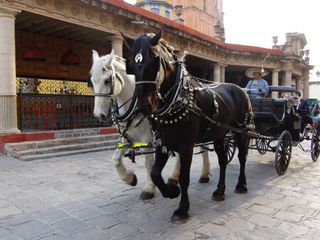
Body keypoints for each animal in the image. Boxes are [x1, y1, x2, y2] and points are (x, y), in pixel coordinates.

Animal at [90, 49, 211, 200]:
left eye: (107, 81)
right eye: (92, 82)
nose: (98, 115)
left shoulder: (147, 139)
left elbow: (148, 162)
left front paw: (148, 189)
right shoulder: (127, 137)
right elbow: (116, 159)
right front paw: (130, 178)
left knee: (203, 148)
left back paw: (203, 174)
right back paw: (179, 176)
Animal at [124, 29, 254, 223]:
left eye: (154, 60)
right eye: (131, 64)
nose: (143, 106)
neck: (177, 98)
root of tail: (241, 89)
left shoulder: (186, 146)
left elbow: (184, 177)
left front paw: (182, 209)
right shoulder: (162, 143)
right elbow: (155, 174)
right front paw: (171, 191)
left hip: (241, 131)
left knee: (242, 157)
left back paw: (241, 185)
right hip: (219, 134)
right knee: (223, 160)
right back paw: (220, 191)